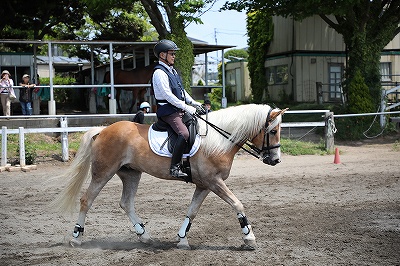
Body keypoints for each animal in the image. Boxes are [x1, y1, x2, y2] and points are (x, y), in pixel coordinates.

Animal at [52, 103, 288, 249]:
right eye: (273, 131)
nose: (276, 160)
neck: (219, 140)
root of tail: (103, 130)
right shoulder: (214, 182)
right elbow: (237, 204)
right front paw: (249, 238)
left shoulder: (204, 185)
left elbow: (192, 212)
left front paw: (182, 239)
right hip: (103, 172)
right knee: (87, 200)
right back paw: (76, 238)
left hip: (131, 174)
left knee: (126, 203)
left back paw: (144, 235)